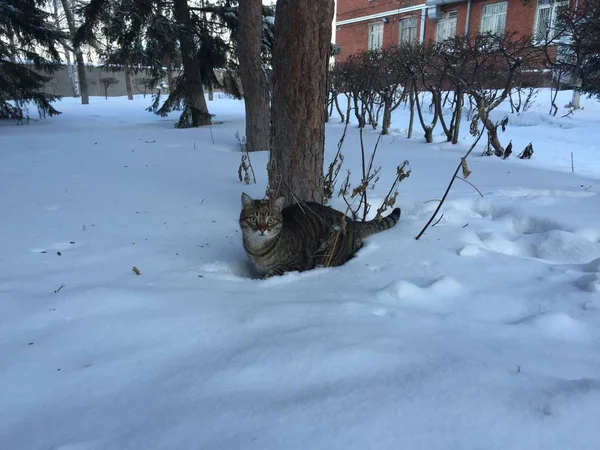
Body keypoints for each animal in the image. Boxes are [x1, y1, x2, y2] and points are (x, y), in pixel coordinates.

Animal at [237, 192, 400, 278]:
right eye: (253, 219)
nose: (262, 229)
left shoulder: (293, 265)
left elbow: (271, 275)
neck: (258, 249)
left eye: (270, 220)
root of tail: (351, 222)